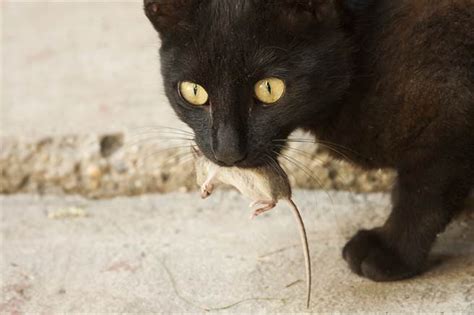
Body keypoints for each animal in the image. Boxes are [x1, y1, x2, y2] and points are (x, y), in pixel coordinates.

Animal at [145, 0, 474, 282]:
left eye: (269, 88)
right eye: (193, 91)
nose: (226, 152)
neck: (365, 42)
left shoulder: (452, 110)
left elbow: (421, 195)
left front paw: (390, 252)